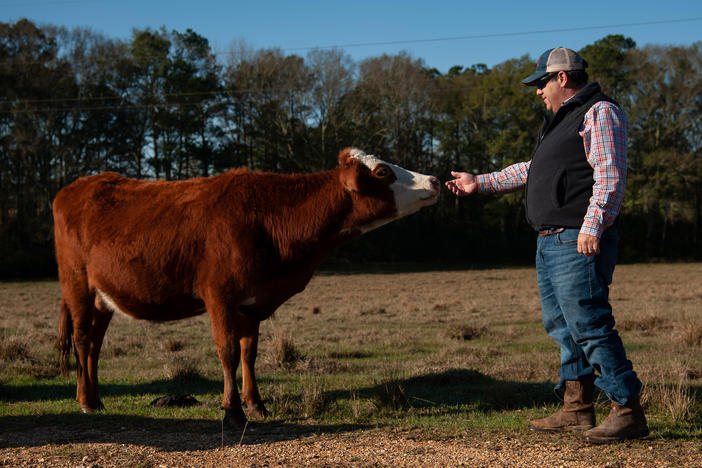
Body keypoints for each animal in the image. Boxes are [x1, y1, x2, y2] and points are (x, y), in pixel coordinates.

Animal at [55, 147, 440, 428]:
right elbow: (227, 351)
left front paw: (256, 405)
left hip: (104, 297)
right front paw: (232, 410)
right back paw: (87, 401)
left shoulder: (252, 303)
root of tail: (78, 185)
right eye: (383, 172)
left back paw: (95, 398)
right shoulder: (219, 296)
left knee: (95, 345)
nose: (435, 180)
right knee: (83, 339)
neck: (268, 219)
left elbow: (248, 353)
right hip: (77, 284)